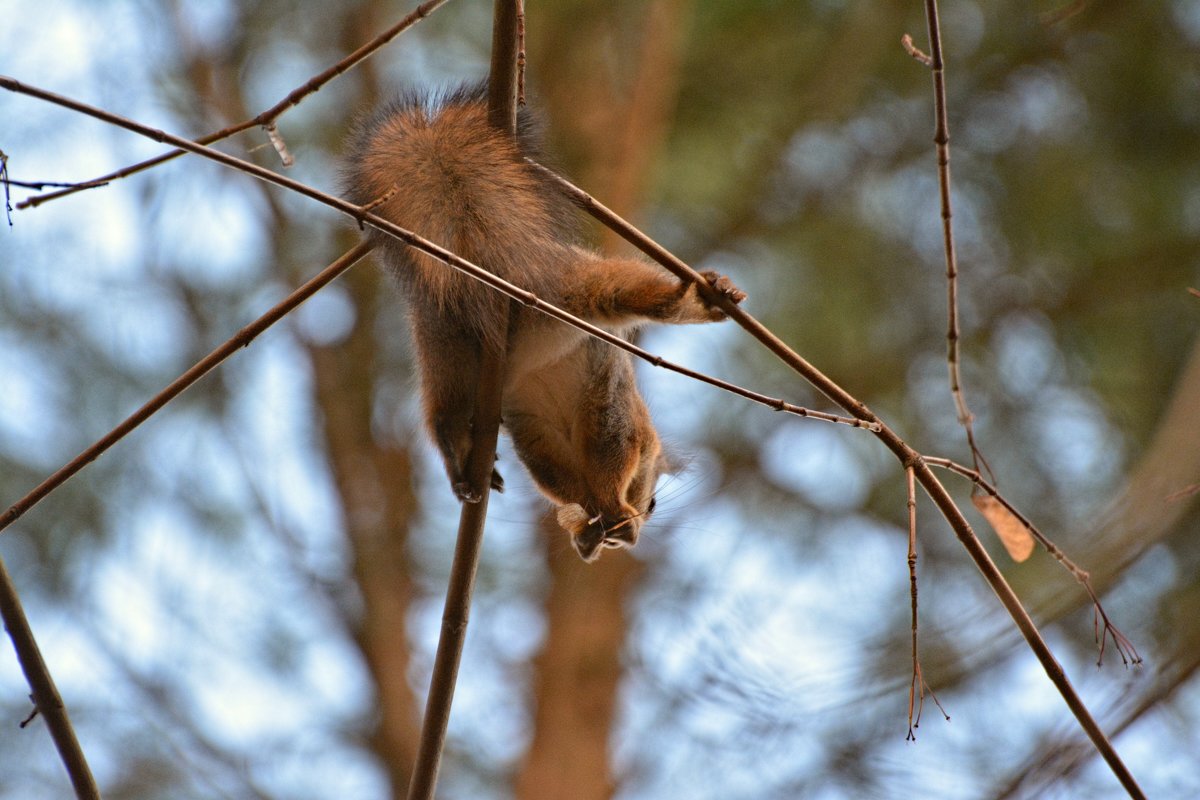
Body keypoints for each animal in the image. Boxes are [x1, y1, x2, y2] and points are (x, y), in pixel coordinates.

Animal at [343, 86, 744, 563]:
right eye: (651, 503)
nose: (619, 542)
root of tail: (505, 267)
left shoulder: (537, 431)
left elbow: (557, 476)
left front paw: (591, 526)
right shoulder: (615, 415)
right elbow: (607, 459)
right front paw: (610, 510)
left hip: (442, 340)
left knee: (444, 411)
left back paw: (460, 459)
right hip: (576, 291)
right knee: (625, 291)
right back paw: (696, 299)